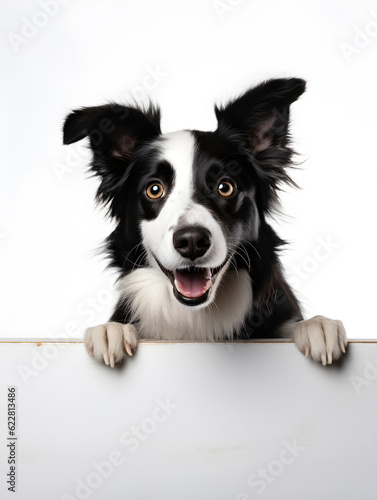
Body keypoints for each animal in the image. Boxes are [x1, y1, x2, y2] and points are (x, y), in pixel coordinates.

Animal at [62, 78, 346, 368]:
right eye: (154, 189)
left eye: (225, 187)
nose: (191, 242)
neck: (194, 318)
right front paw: (111, 330)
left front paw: (317, 325)